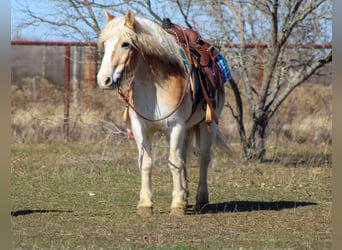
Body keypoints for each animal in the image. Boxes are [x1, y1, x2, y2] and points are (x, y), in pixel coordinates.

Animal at [96, 10, 226, 216]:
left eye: (125, 44)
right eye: (106, 44)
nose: (104, 80)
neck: (155, 84)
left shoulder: (176, 126)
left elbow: (174, 162)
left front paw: (177, 205)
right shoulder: (140, 127)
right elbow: (147, 162)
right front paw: (145, 204)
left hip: (209, 124)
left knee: (203, 159)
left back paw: (201, 200)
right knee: (185, 157)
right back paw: (186, 196)